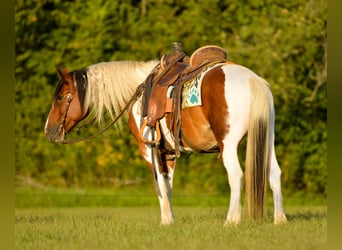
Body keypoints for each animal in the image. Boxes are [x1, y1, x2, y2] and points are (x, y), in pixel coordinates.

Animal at [44, 54, 286, 225]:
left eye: (60, 97)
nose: (49, 131)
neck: (139, 92)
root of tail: (253, 80)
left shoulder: (149, 149)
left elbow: (159, 183)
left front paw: (166, 221)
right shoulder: (167, 152)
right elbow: (168, 185)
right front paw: (170, 219)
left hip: (228, 145)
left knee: (236, 176)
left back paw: (231, 220)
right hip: (267, 140)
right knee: (274, 173)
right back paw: (280, 219)